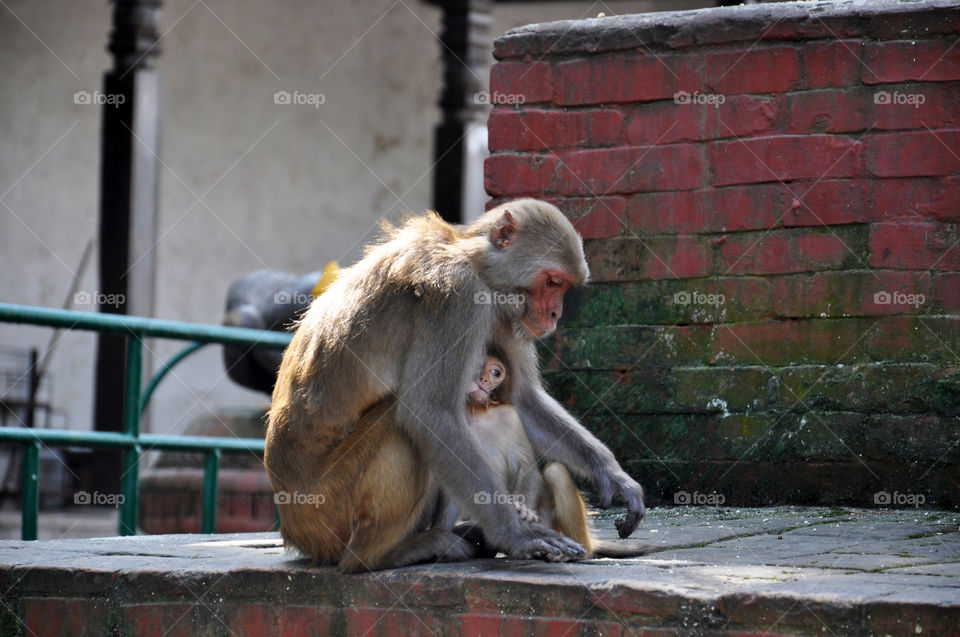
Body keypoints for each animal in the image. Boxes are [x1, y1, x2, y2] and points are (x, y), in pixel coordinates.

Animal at [262, 199, 644, 572]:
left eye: (563, 286)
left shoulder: (504, 318)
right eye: (552, 282)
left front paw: (612, 475)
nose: (554, 315)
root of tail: (294, 530)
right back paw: (384, 555)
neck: (475, 263)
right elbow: (429, 412)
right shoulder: (459, 298)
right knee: (398, 422)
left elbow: (522, 400)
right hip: (328, 509)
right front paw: (516, 534)